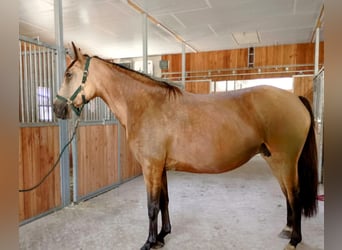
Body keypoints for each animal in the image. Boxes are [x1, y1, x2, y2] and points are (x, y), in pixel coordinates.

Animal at [52, 43, 318, 250]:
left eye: (68, 74)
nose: (57, 108)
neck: (146, 105)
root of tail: (294, 98)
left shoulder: (150, 167)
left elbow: (151, 206)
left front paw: (148, 242)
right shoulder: (160, 167)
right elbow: (164, 201)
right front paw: (162, 236)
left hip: (285, 160)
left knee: (294, 194)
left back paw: (294, 240)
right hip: (274, 159)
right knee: (287, 194)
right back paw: (287, 230)